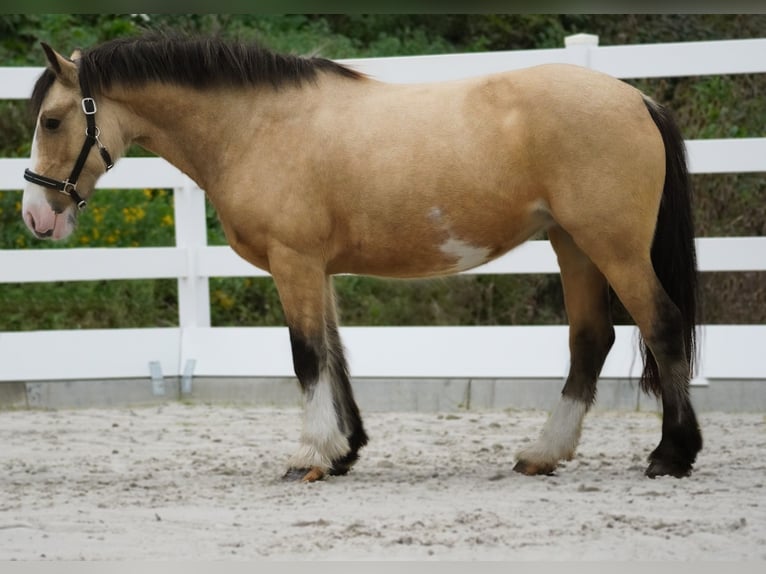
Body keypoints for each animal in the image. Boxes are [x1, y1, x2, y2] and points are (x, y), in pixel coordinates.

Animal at [19, 33, 704, 484]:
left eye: (51, 121)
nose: (36, 216)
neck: (257, 126)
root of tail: (635, 99)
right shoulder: (316, 268)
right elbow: (334, 355)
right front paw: (344, 450)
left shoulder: (294, 262)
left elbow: (306, 355)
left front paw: (310, 455)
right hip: (574, 245)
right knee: (591, 339)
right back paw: (544, 453)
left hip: (612, 246)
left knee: (661, 325)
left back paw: (672, 454)